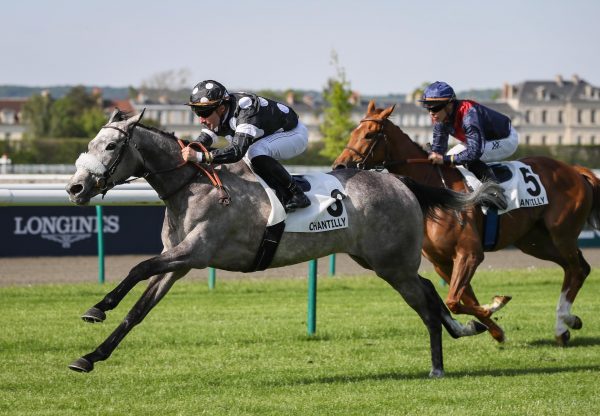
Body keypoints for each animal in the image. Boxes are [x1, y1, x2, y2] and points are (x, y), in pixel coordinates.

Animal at [63, 109, 500, 378]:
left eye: (111, 147)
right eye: (89, 144)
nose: (75, 188)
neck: (192, 186)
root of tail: (400, 181)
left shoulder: (195, 252)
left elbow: (138, 267)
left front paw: (97, 308)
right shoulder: (180, 263)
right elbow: (138, 311)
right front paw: (90, 356)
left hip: (392, 263)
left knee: (426, 300)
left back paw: (440, 362)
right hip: (379, 260)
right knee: (429, 291)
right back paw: (465, 330)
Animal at [332, 101, 600, 344]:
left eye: (369, 134)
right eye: (353, 132)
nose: (339, 165)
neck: (436, 193)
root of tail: (575, 170)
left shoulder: (469, 253)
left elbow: (454, 300)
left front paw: (495, 305)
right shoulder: (442, 261)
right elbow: (464, 299)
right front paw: (495, 330)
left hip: (562, 234)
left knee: (577, 269)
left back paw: (564, 323)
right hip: (535, 242)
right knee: (575, 268)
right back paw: (566, 324)